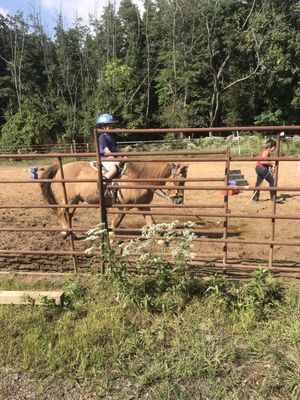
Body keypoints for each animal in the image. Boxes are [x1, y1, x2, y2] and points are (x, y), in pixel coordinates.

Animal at [40, 161, 188, 239]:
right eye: (179, 181)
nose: (179, 200)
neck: (137, 179)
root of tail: (61, 167)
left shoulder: (143, 206)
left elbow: (151, 222)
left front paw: (159, 239)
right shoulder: (123, 207)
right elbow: (115, 223)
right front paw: (111, 237)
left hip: (75, 201)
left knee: (68, 214)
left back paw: (72, 234)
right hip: (68, 200)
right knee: (61, 213)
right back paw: (65, 233)